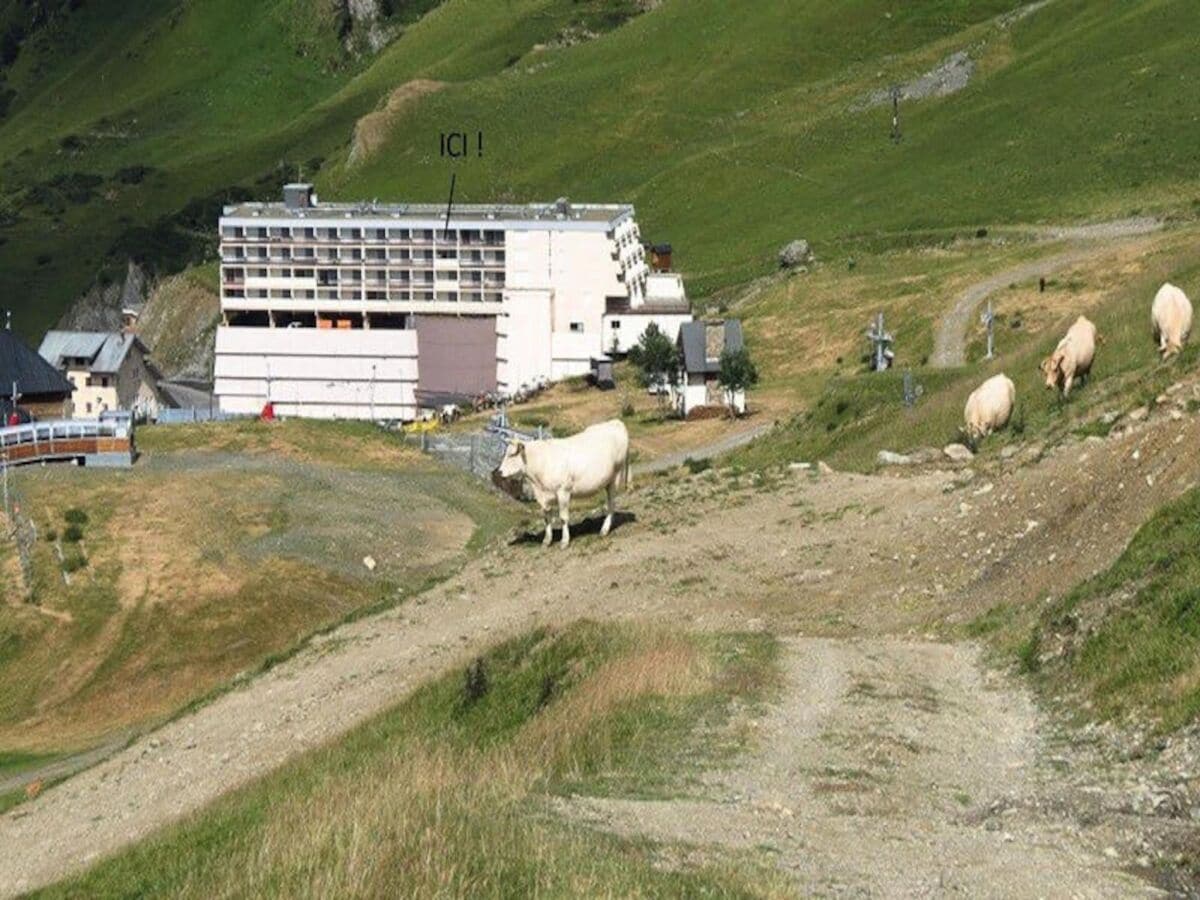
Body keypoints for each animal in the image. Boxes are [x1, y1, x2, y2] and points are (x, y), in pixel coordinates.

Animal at [492, 420, 633, 547]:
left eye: (512, 455)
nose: (498, 471)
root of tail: (616, 422)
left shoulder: (563, 491)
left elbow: (563, 517)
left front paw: (565, 541)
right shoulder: (543, 496)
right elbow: (546, 517)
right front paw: (547, 540)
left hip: (615, 477)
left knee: (611, 503)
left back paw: (605, 529)